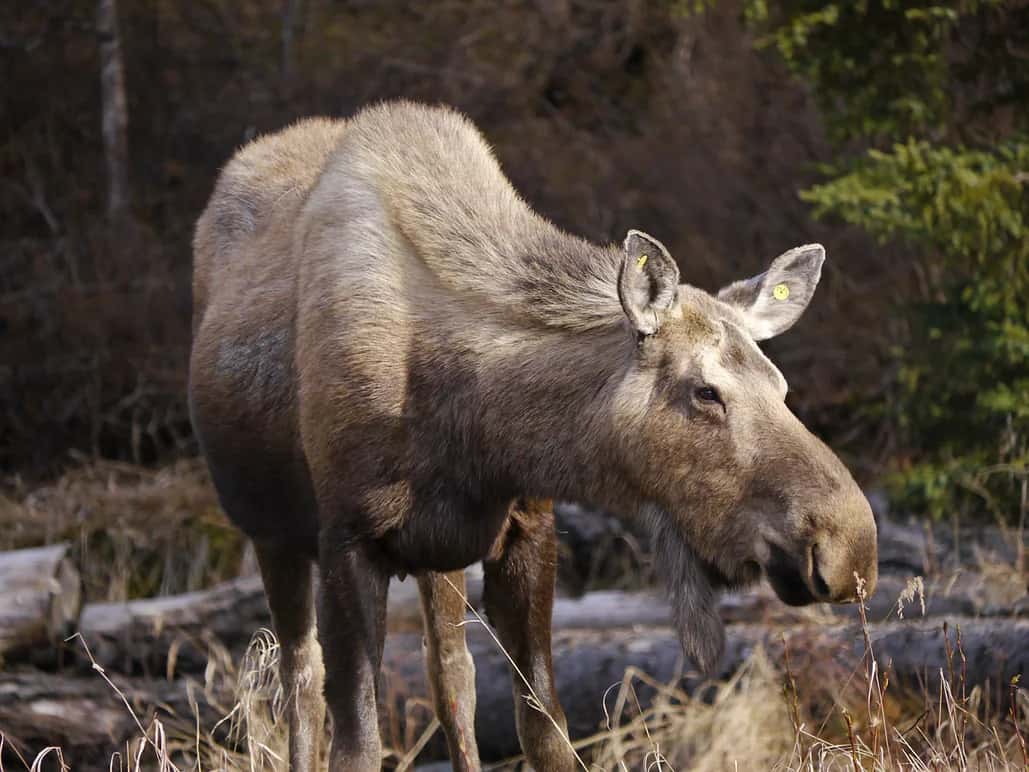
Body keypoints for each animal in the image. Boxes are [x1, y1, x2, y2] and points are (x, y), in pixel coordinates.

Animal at [189, 101, 879, 771]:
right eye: (705, 391)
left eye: (780, 385)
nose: (849, 549)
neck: (479, 425)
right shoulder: (347, 539)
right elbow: (355, 744)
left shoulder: (526, 528)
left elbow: (545, 730)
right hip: (272, 535)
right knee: (299, 682)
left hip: (436, 559)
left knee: (451, 678)